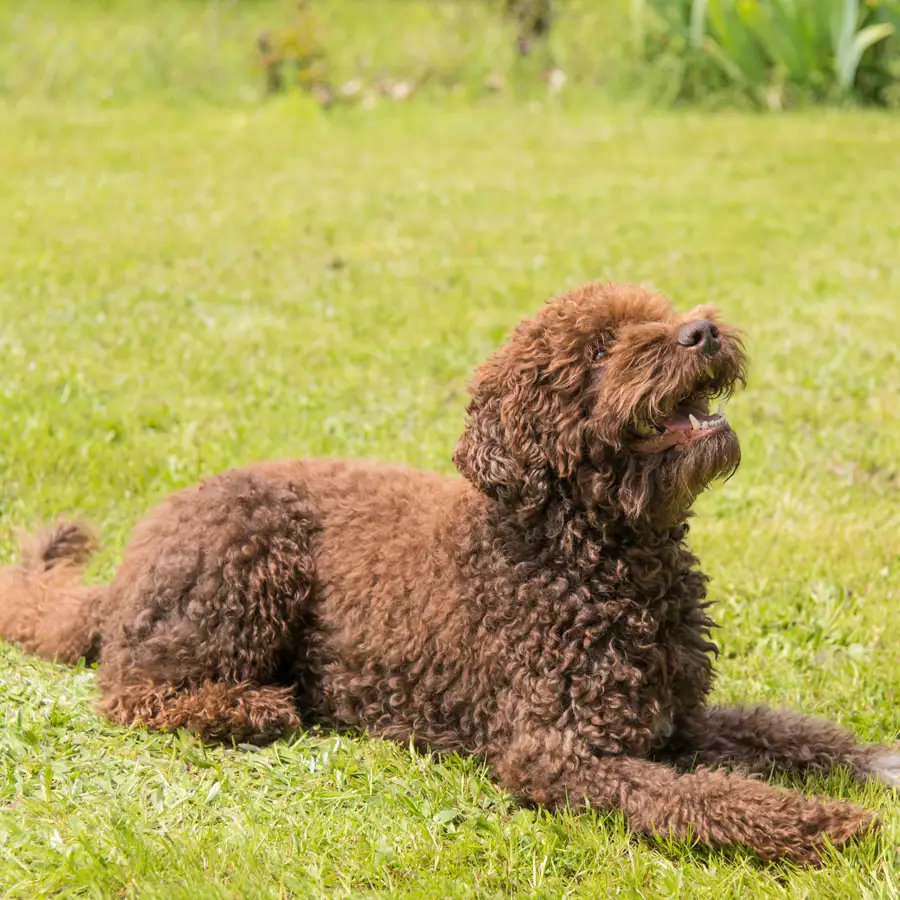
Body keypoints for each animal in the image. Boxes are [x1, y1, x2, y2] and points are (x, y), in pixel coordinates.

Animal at [1, 284, 900, 864]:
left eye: (659, 315)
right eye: (600, 350)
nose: (701, 333)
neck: (600, 555)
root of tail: (131, 561)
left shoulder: (675, 720)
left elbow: (788, 732)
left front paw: (874, 764)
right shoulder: (561, 753)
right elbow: (707, 797)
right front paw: (828, 824)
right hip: (247, 559)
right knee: (132, 691)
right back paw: (253, 705)